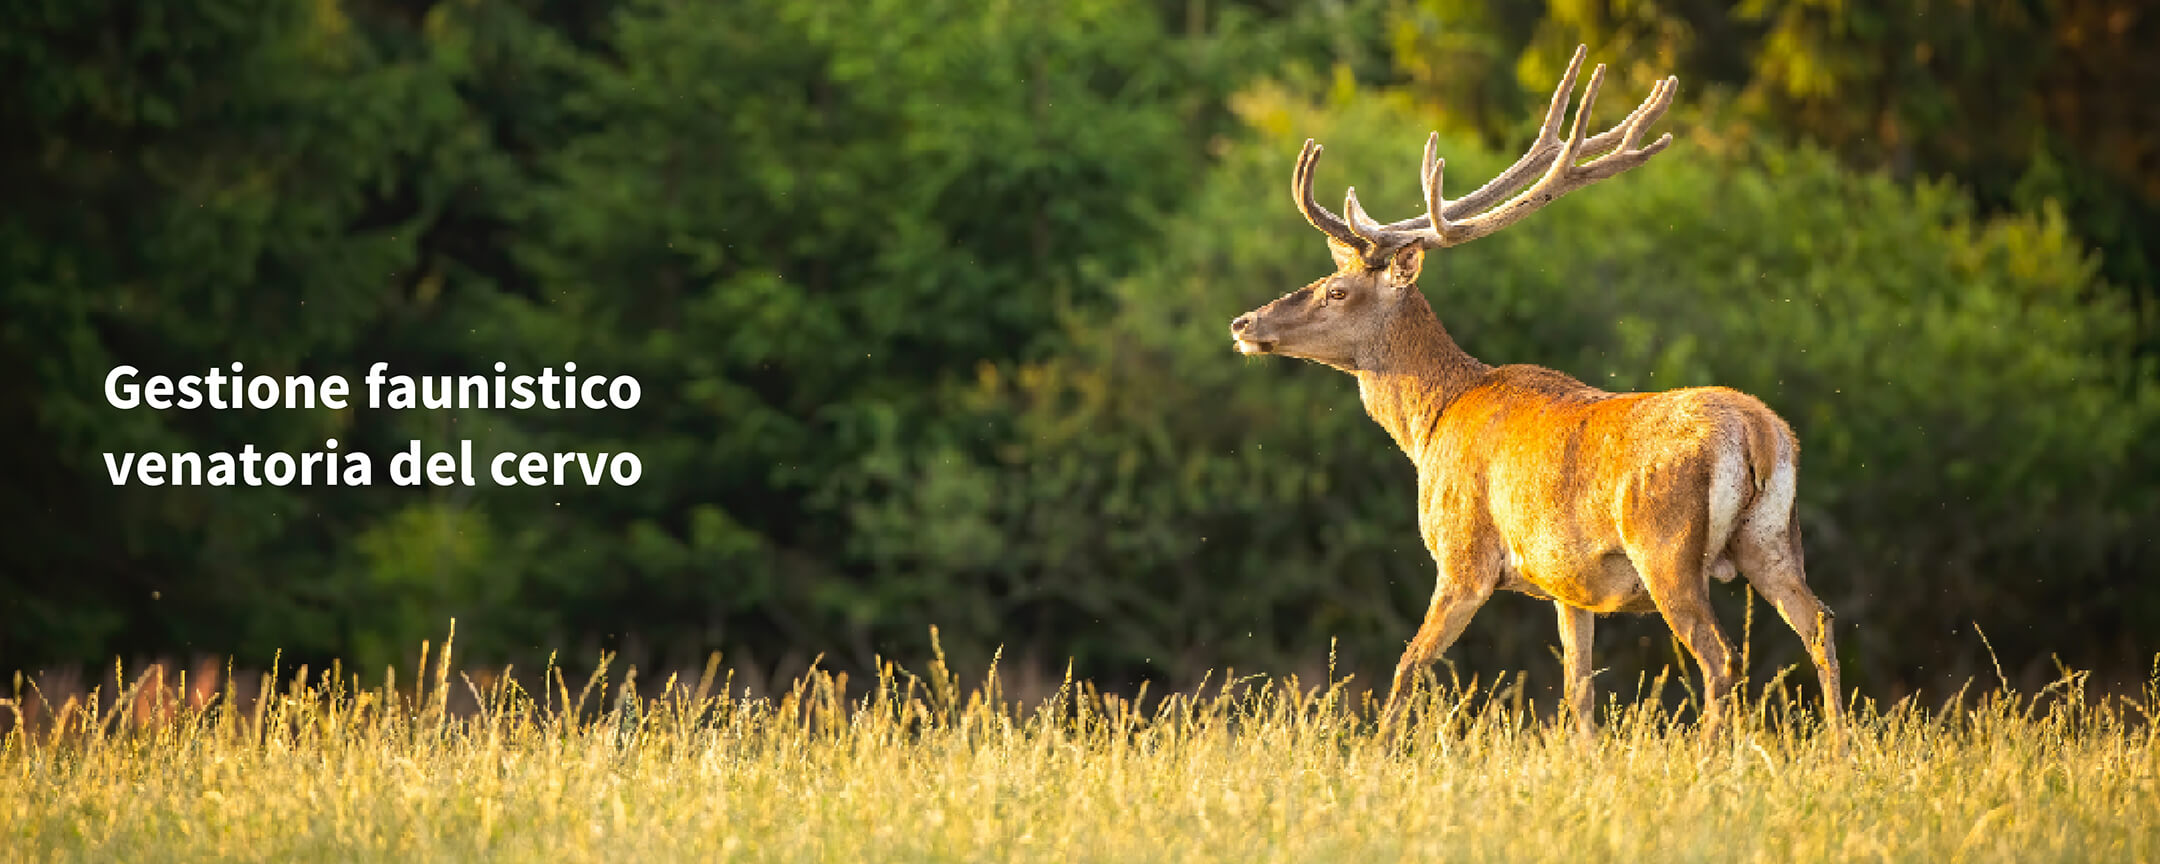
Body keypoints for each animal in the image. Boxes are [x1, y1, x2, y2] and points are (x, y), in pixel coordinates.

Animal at [1227, 45, 1842, 738]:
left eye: (1336, 290)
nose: (1244, 324)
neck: (1432, 420)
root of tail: (1760, 434)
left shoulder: (1463, 556)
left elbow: (1407, 667)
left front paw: (1375, 751)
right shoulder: (1569, 585)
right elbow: (1578, 692)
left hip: (1667, 546)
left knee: (1722, 656)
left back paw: (1714, 752)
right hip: (1773, 539)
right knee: (1819, 623)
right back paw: (1841, 747)